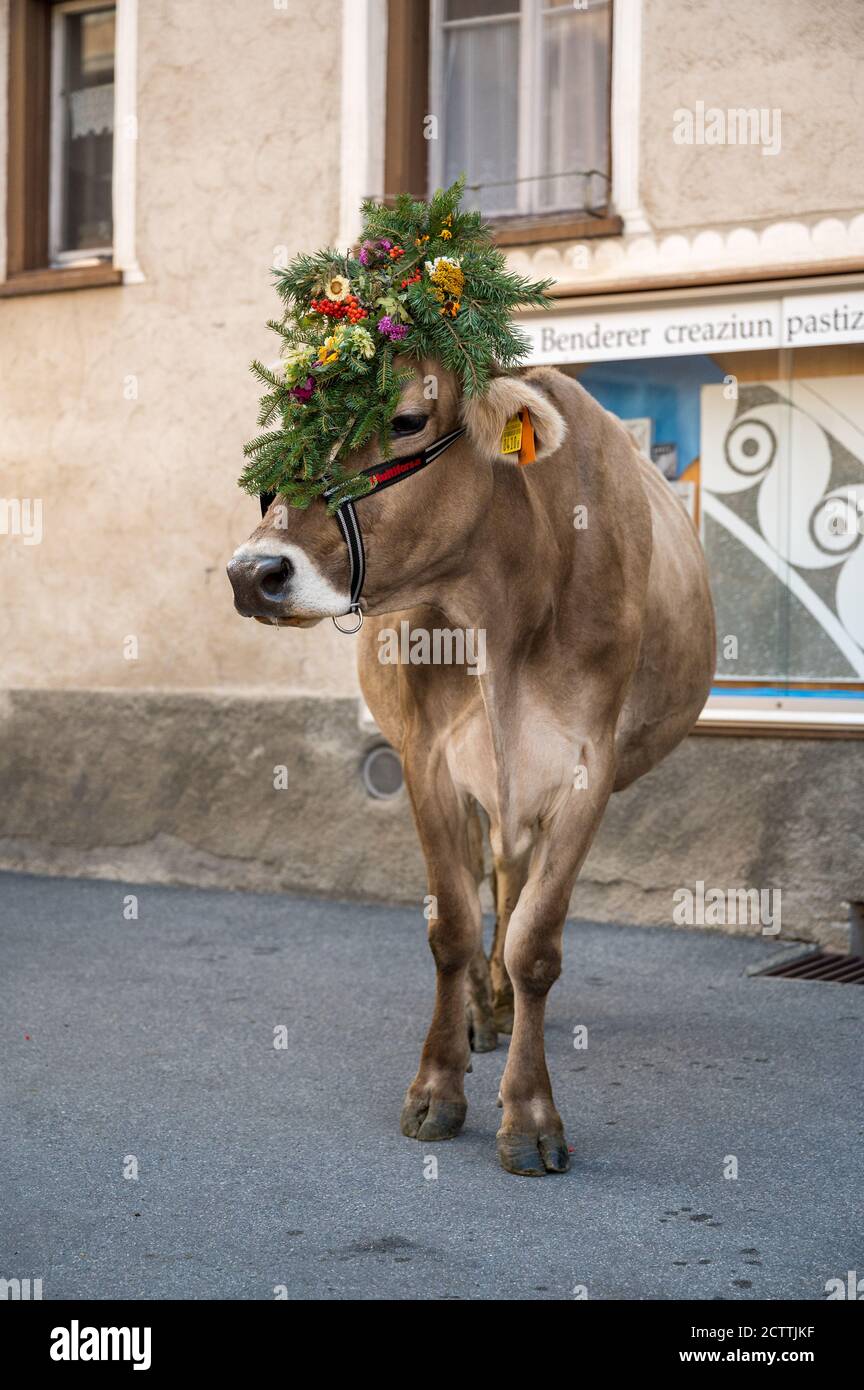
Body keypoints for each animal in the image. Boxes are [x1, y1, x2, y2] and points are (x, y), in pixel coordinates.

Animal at [229, 358, 716, 1173]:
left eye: (405, 420)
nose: (251, 572)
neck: (503, 609)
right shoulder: (427, 760)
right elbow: (452, 927)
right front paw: (436, 1087)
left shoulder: (588, 768)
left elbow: (537, 944)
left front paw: (530, 1115)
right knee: (493, 879)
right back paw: (479, 1016)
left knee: (513, 890)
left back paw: (503, 1005)